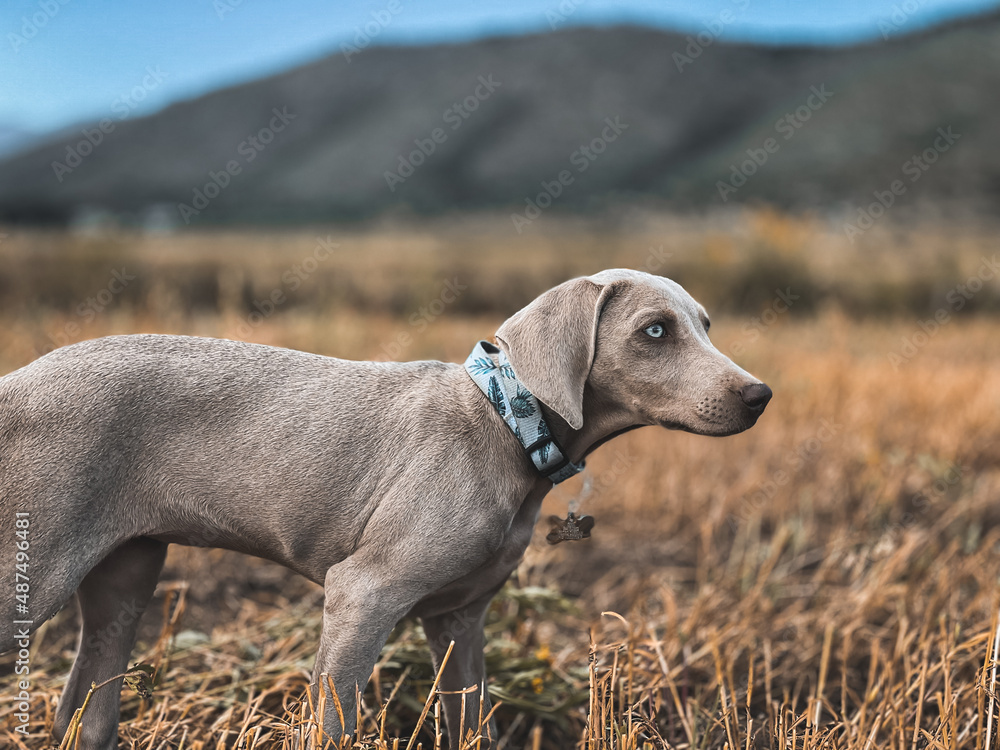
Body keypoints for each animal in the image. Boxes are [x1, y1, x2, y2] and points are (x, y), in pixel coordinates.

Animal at [0, 270, 772, 750]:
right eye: (654, 331)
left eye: (704, 325)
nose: (760, 395)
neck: (504, 421)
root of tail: (15, 383)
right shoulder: (363, 592)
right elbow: (329, 722)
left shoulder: (459, 619)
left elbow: (472, 725)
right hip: (34, 568)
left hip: (125, 572)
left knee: (83, 714)